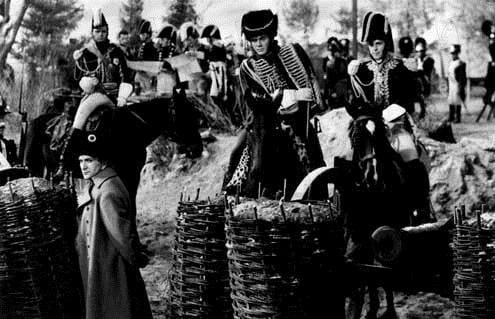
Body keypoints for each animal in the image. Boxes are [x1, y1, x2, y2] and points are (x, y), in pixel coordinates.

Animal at [340, 115, 410, 319]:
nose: (374, 177)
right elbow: (365, 269)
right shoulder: (357, 230)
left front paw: (389, 310)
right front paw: (369, 308)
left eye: (380, 135)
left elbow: (384, 271)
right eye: (356, 137)